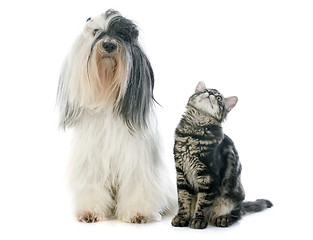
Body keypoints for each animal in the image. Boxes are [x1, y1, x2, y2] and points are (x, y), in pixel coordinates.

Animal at [58, 9, 176, 223]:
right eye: (96, 31)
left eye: (122, 34)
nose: (109, 45)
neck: (107, 98)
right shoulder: (92, 162)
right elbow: (93, 185)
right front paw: (90, 212)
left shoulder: (137, 161)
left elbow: (137, 185)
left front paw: (138, 213)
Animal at [172, 81, 272, 229]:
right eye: (205, 91)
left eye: (219, 98)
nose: (210, 93)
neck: (194, 132)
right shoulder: (181, 173)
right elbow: (183, 200)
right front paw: (182, 218)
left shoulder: (208, 176)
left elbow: (203, 202)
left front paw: (198, 220)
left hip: (234, 195)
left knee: (236, 215)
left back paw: (224, 218)